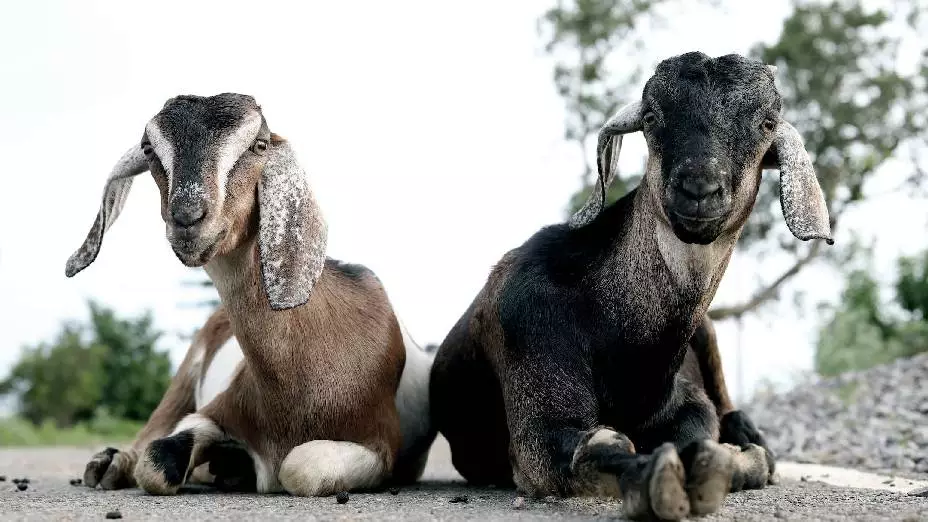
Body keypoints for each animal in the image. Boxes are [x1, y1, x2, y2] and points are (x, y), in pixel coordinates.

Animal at [65, 93, 436, 496]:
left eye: (259, 145)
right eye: (149, 149)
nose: (188, 217)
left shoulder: (381, 442)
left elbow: (301, 466)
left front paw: (234, 463)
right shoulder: (216, 410)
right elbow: (156, 461)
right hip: (184, 375)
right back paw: (110, 464)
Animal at [429, 52, 832, 521]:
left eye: (767, 122)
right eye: (653, 117)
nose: (699, 188)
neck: (632, 356)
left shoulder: (685, 401)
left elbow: (700, 428)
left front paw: (730, 461)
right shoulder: (531, 358)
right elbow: (590, 448)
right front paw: (663, 481)